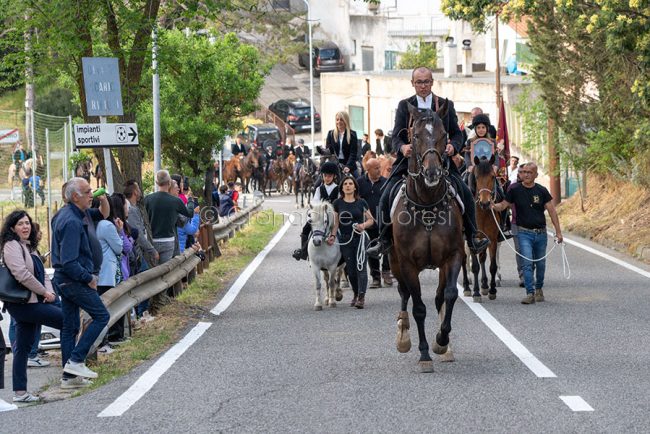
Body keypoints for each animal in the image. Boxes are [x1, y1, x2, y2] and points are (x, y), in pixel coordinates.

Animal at [390, 103, 466, 372]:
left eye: (445, 135)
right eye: (414, 136)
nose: (432, 172)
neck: (428, 204)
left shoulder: (453, 256)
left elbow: (449, 295)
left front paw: (441, 341)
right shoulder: (407, 264)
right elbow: (419, 307)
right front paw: (424, 354)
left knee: (439, 297)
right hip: (394, 262)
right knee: (404, 294)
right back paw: (403, 335)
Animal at [458, 156, 498, 302]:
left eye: (493, 176)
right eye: (476, 177)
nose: (485, 202)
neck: (482, 212)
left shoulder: (492, 239)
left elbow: (492, 266)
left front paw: (492, 290)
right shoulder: (472, 239)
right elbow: (474, 266)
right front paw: (475, 292)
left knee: (482, 258)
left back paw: (485, 285)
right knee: (464, 260)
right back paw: (467, 287)